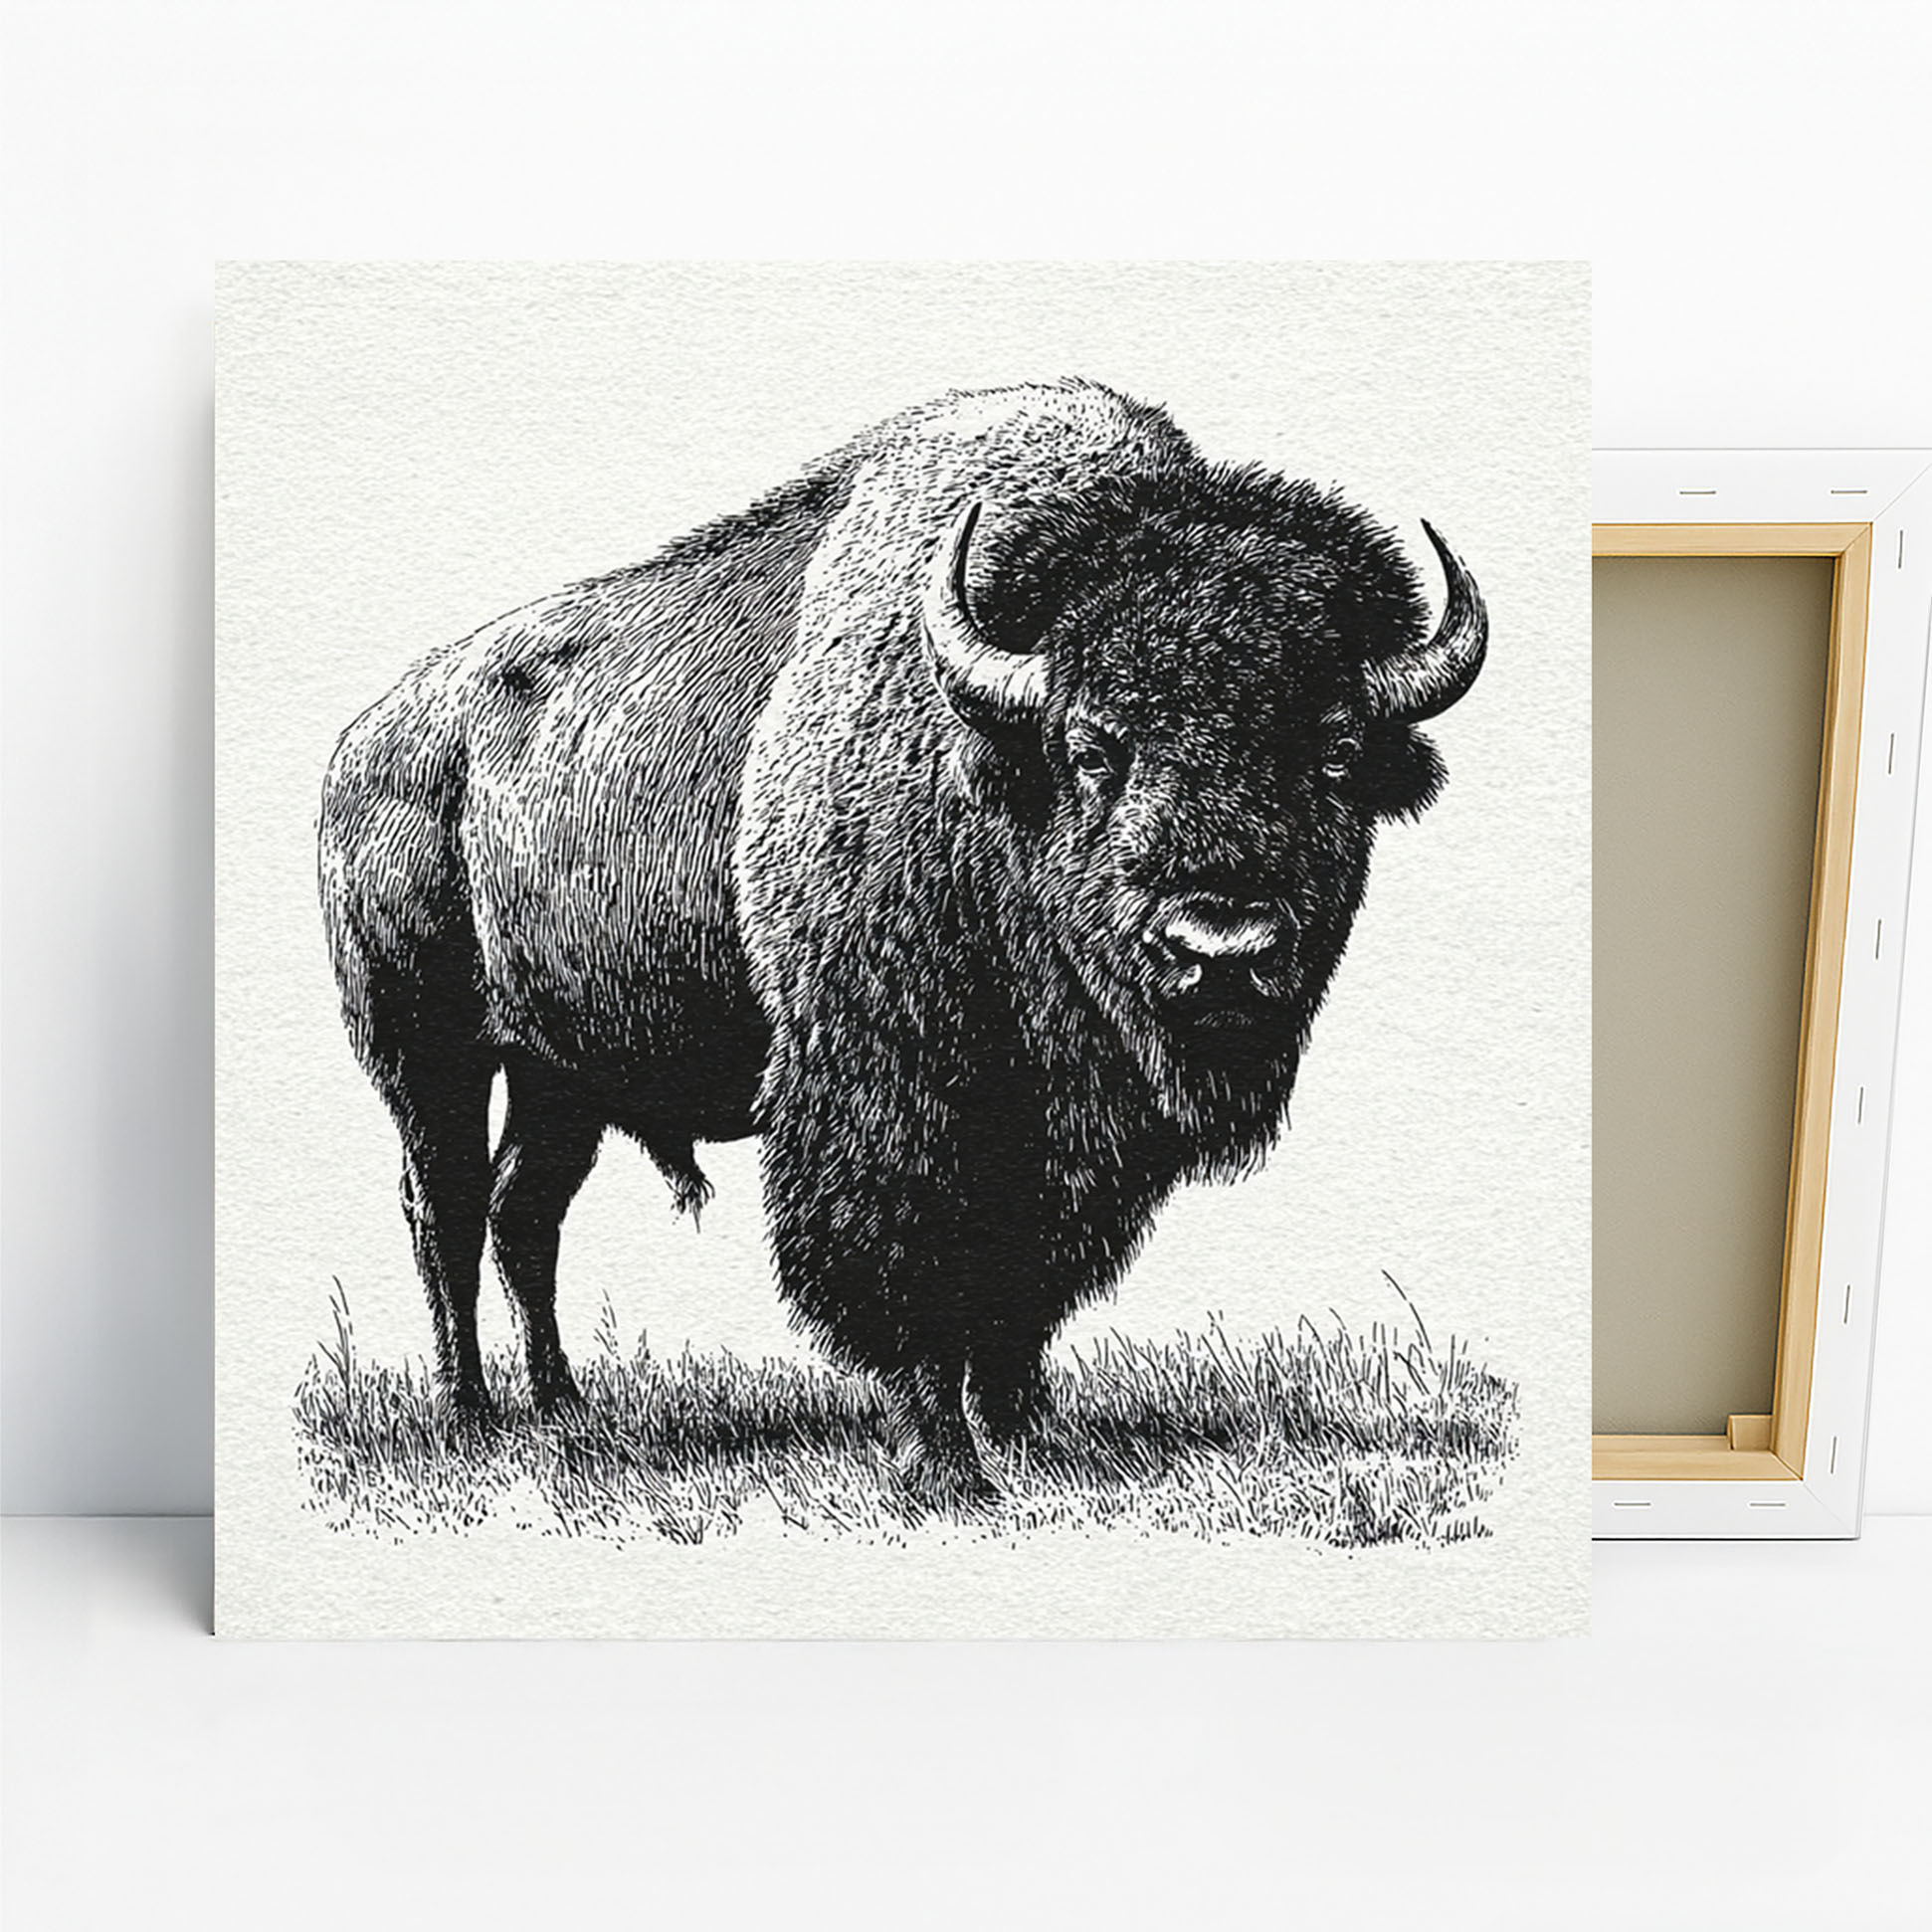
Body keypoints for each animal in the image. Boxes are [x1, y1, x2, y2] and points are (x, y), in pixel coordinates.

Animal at [318, 379, 1486, 1502]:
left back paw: (564, 1406)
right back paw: (471, 1415)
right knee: (446, 1207)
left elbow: (1024, 1288)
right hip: (430, 1056)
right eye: (1092, 748)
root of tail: (367, 741)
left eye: (1336, 752)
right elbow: (912, 1271)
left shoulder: (1068, 1148)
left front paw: (1029, 1438)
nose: (1223, 945)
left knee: (525, 1210)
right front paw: (948, 1467)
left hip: (564, 1075)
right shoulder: (888, 1102)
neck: (986, 772)